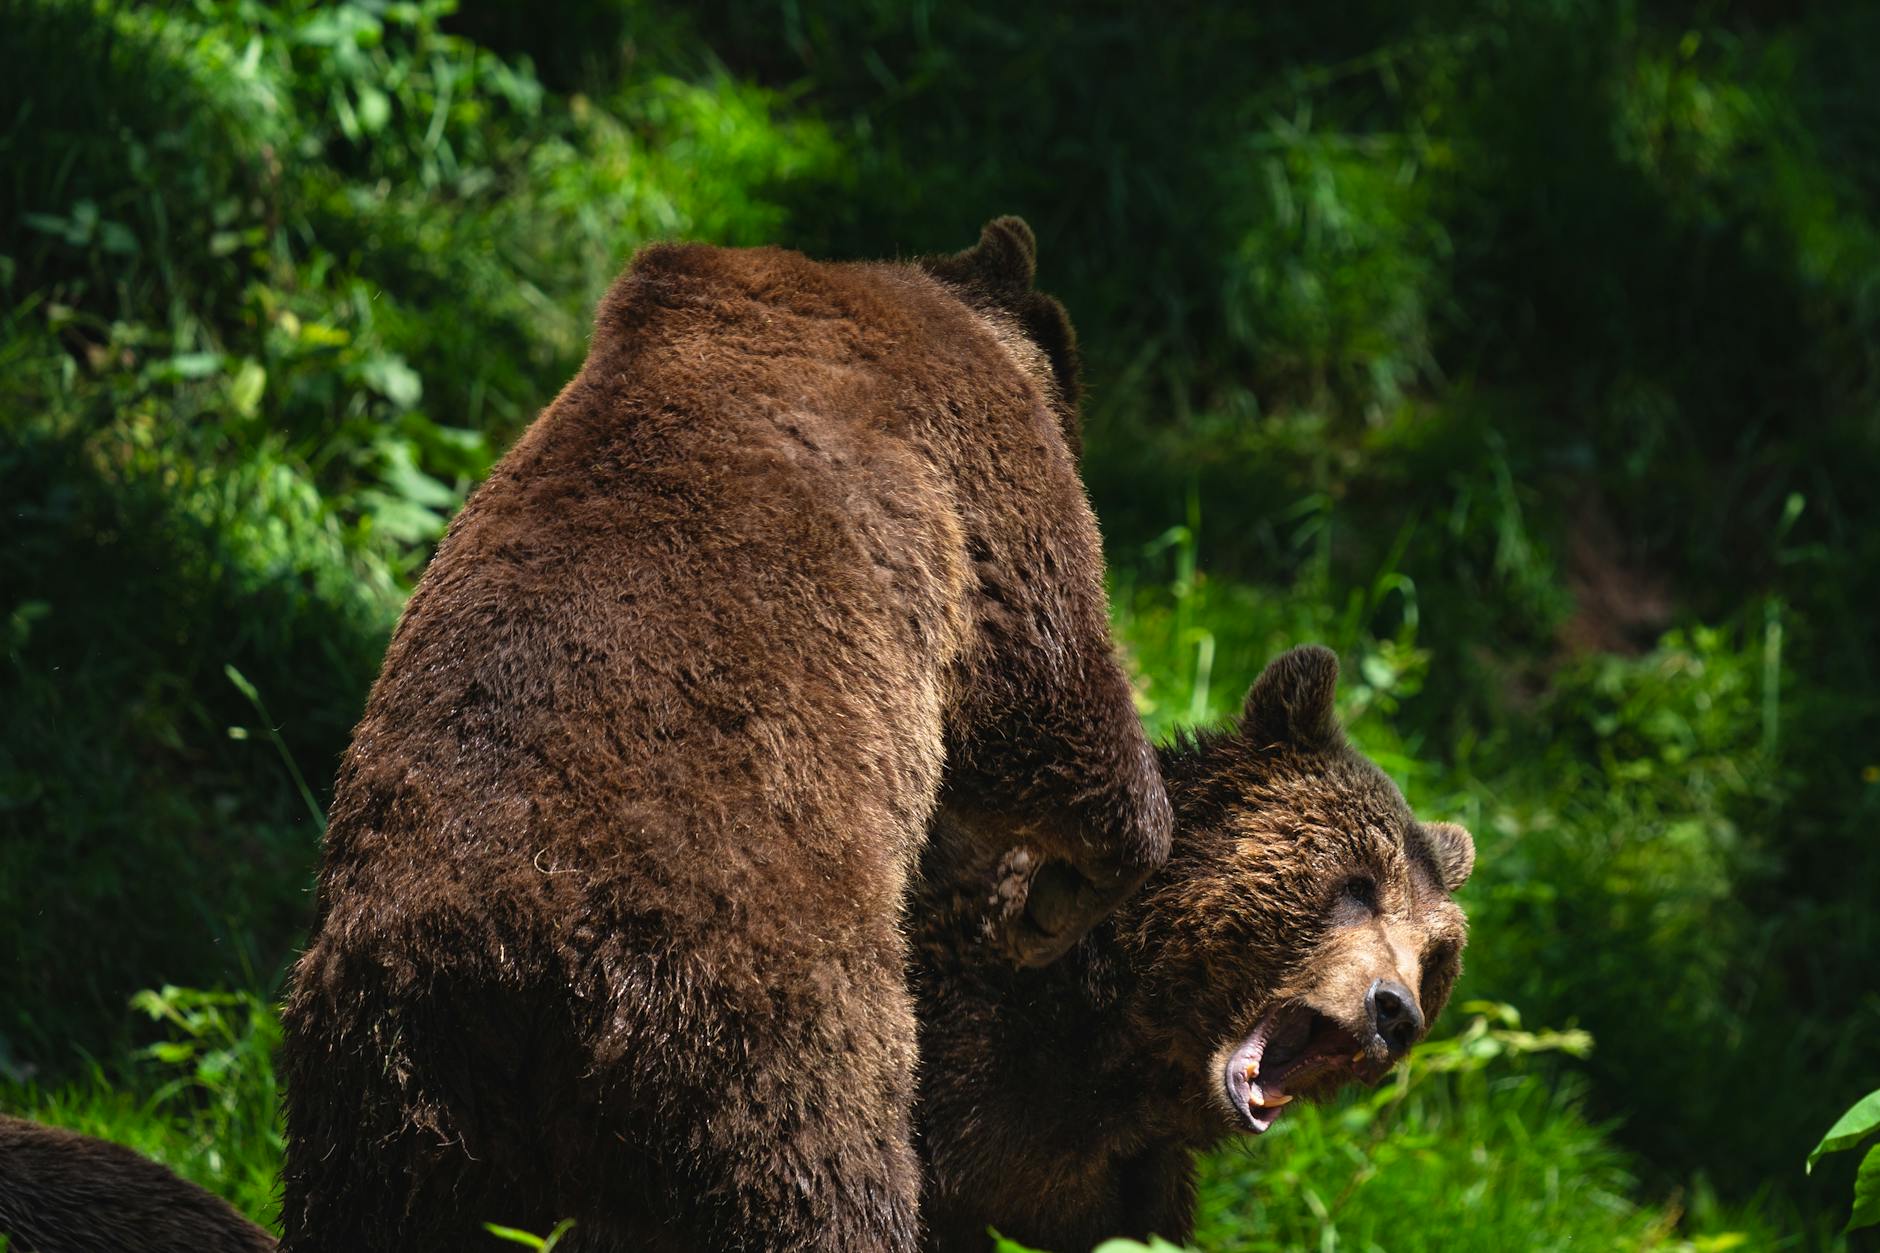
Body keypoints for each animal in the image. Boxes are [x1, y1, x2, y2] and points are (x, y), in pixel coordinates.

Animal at [277, 219, 1173, 1253]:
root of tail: (513, 972)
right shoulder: (977, 487)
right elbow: (1053, 692)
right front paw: (1067, 891)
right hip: (754, 1050)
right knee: (827, 1187)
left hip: (389, 1107)